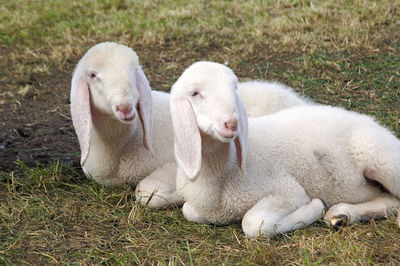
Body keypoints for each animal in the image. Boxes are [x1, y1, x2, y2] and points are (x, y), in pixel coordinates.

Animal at [172, 61, 400, 238]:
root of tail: (369, 120)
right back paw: (342, 215)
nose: (231, 123)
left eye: (234, 89)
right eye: (194, 93)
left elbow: (254, 224)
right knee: (390, 200)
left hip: (380, 157)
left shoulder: (288, 191)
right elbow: (187, 211)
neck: (222, 174)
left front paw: (315, 208)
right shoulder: (197, 208)